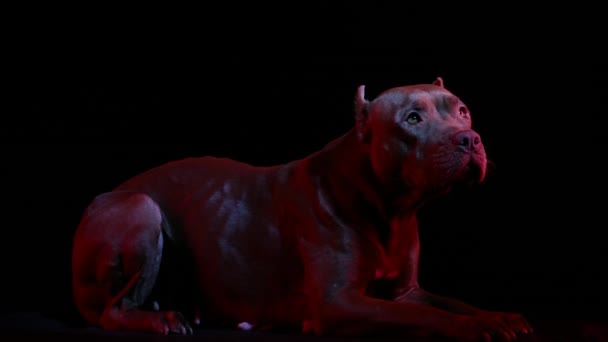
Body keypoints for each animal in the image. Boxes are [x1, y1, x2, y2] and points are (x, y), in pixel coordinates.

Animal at [71, 77, 532, 340]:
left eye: (462, 110)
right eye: (412, 118)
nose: (469, 138)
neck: (389, 205)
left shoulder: (408, 290)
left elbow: (448, 302)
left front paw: (497, 316)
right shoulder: (337, 303)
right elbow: (422, 317)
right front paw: (474, 327)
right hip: (142, 207)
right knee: (112, 312)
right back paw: (160, 319)